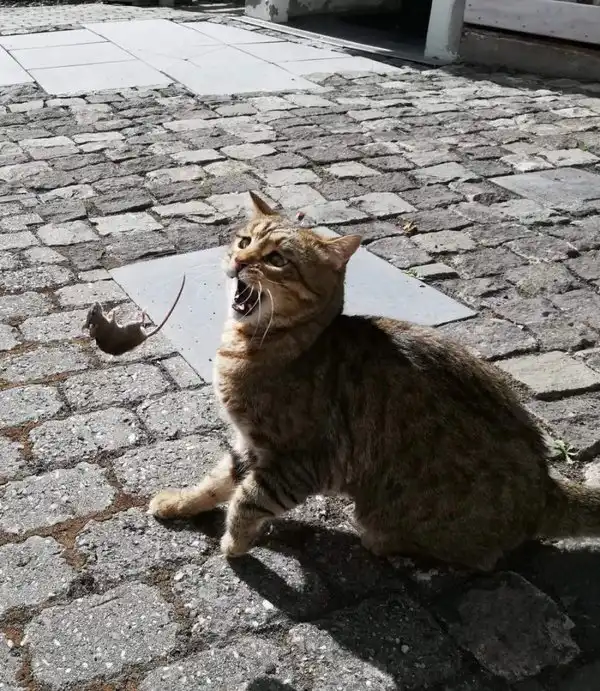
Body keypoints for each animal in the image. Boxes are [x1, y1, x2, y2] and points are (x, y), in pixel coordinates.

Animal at [149, 191, 600, 571]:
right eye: (243, 241)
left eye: (277, 259)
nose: (240, 263)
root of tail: (545, 489)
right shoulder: (250, 445)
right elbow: (216, 480)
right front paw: (179, 503)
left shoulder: (298, 460)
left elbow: (247, 500)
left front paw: (234, 544)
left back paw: (384, 542)